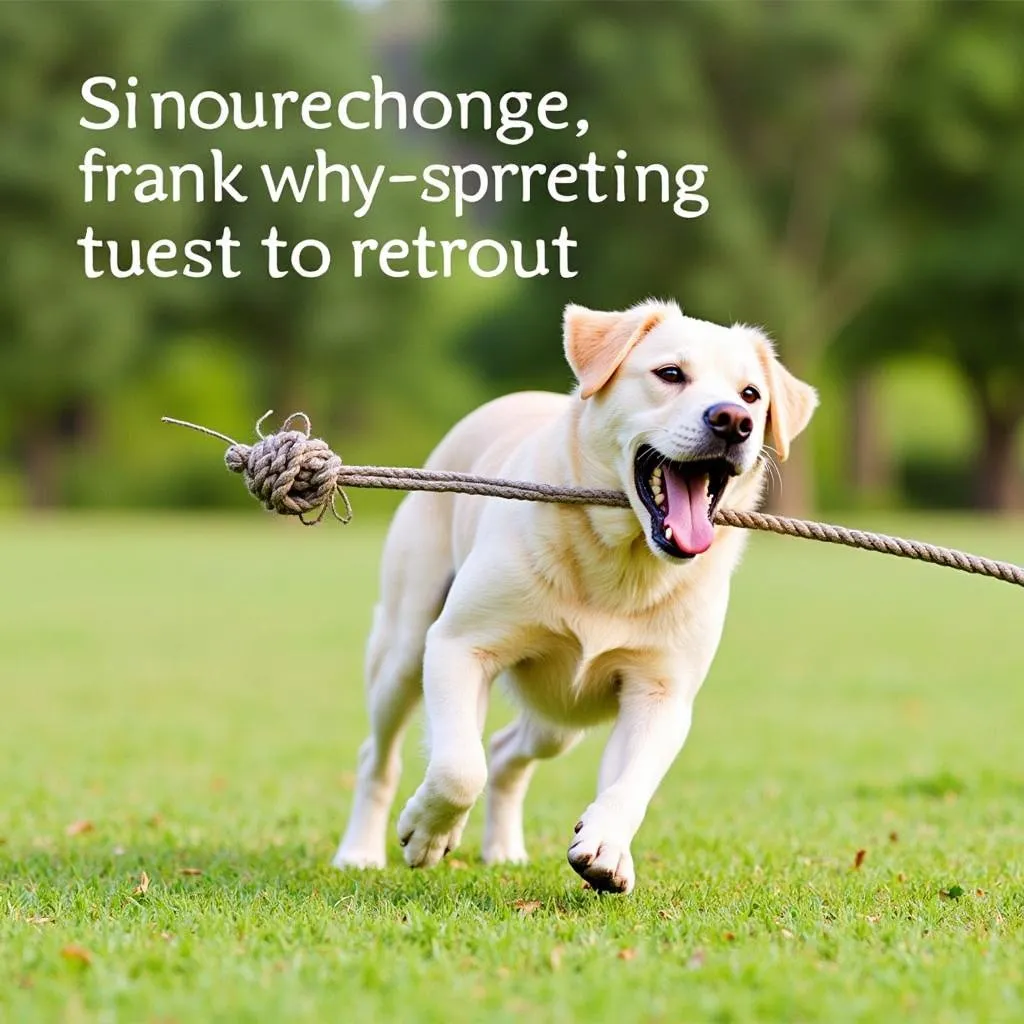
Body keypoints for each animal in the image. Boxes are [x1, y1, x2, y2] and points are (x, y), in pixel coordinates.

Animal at [333, 299, 815, 892]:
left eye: (752, 395)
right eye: (670, 373)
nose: (733, 421)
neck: (624, 562)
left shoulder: (662, 692)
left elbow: (631, 784)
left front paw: (606, 846)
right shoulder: (457, 646)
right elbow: (458, 768)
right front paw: (428, 833)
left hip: (560, 716)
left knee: (506, 751)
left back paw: (504, 850)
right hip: (405, 650)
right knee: (380, 757)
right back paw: (359, 852)